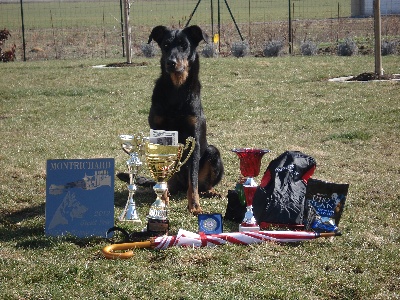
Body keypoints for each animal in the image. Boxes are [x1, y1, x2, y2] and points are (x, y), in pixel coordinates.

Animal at [147, 25, 223, 213]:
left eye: (184, 45)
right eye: (166, 45)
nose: (171, 62)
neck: (177, 89)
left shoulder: (193, 138)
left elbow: (193, 180)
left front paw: (194, 206)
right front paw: (162, 201)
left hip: (213, 152)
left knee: (201, 185)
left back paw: (211, 191)